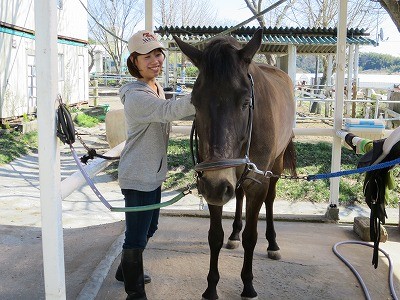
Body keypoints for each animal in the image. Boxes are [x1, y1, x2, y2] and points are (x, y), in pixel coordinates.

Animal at [173, 29, 296, 300]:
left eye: (245, 102)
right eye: (195, 102)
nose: (217, 186)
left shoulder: (257, 181)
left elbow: (252, 236)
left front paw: (248, 285)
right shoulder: (211, 182)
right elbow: (214, 236)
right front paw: (211, 287)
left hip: (275, 167)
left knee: (270, 200)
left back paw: (273, 243)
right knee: (238, 195)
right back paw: (234, 233)